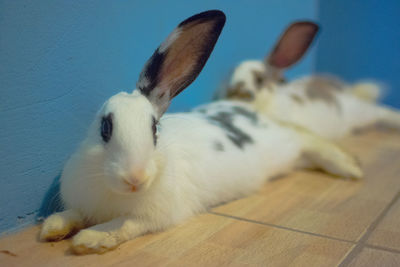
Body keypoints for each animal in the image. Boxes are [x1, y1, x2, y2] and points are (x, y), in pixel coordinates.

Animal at [40, 12, 362, 255]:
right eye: (105, 127)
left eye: (154, 130)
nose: (136, 178)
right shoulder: (83, 204)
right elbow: (74, 214)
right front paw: (51, 228)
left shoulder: (153, 216)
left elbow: (124, 225)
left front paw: (90, 240)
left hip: (290, 141)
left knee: (312, 140)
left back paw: (351, 169)